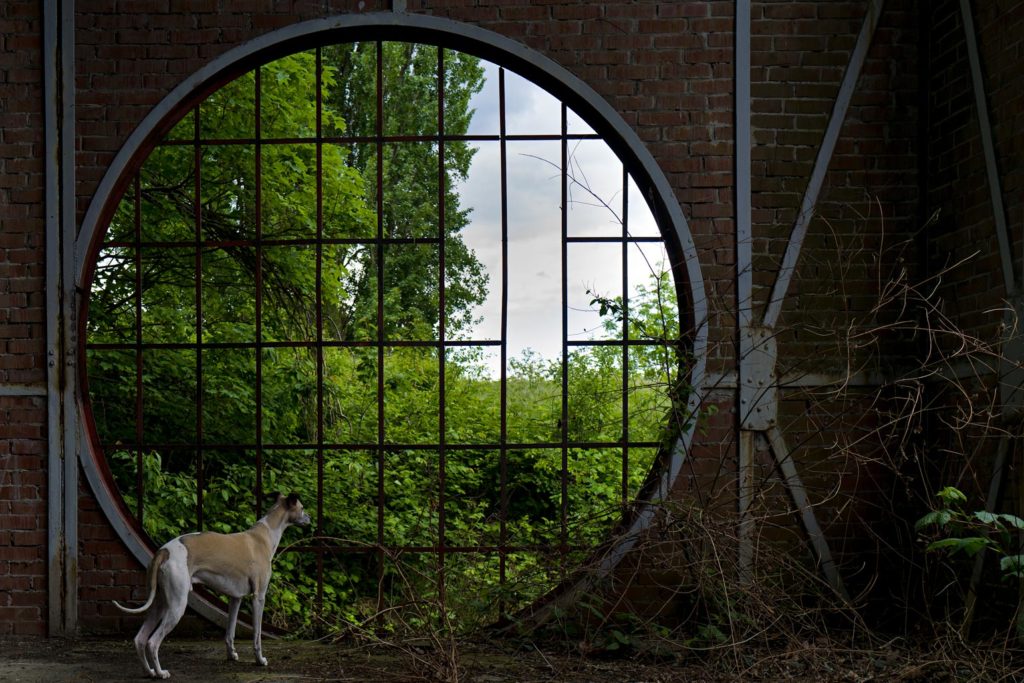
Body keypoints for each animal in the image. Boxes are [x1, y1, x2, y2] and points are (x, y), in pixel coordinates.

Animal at [113, 491, 309, 679]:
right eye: (302, 507)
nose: (309, 519)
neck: (264, 535)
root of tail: (163, 551)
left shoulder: (235, 598)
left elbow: (230, 632)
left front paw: (232, 655)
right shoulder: (258, 597)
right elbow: (257, 635)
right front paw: (260, 660)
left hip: (159, 603)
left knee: (139, 639)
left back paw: (150, 672)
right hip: (177, 606)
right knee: (152, 642)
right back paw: (161, 673)